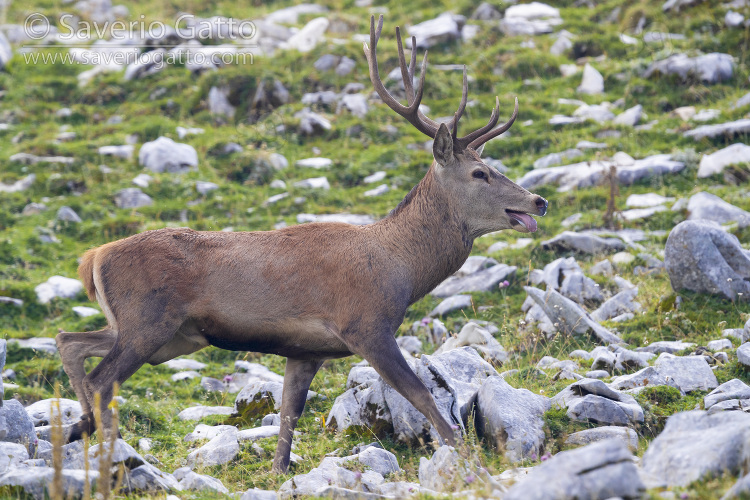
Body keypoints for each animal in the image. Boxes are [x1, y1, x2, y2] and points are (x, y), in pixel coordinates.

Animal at [55, 13, 548, 470]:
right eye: (480, 173)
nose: (538, 201)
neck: (401, 269)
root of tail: (92, 257)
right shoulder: (366, 325)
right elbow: (422, 397)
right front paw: (467, 458)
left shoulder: (306, 351)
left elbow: (288, 421)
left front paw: (278, 473)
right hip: (148, 319)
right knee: (101, 379)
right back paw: (103, 449)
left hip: (161, 333)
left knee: (69, 340)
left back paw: (81, 432)